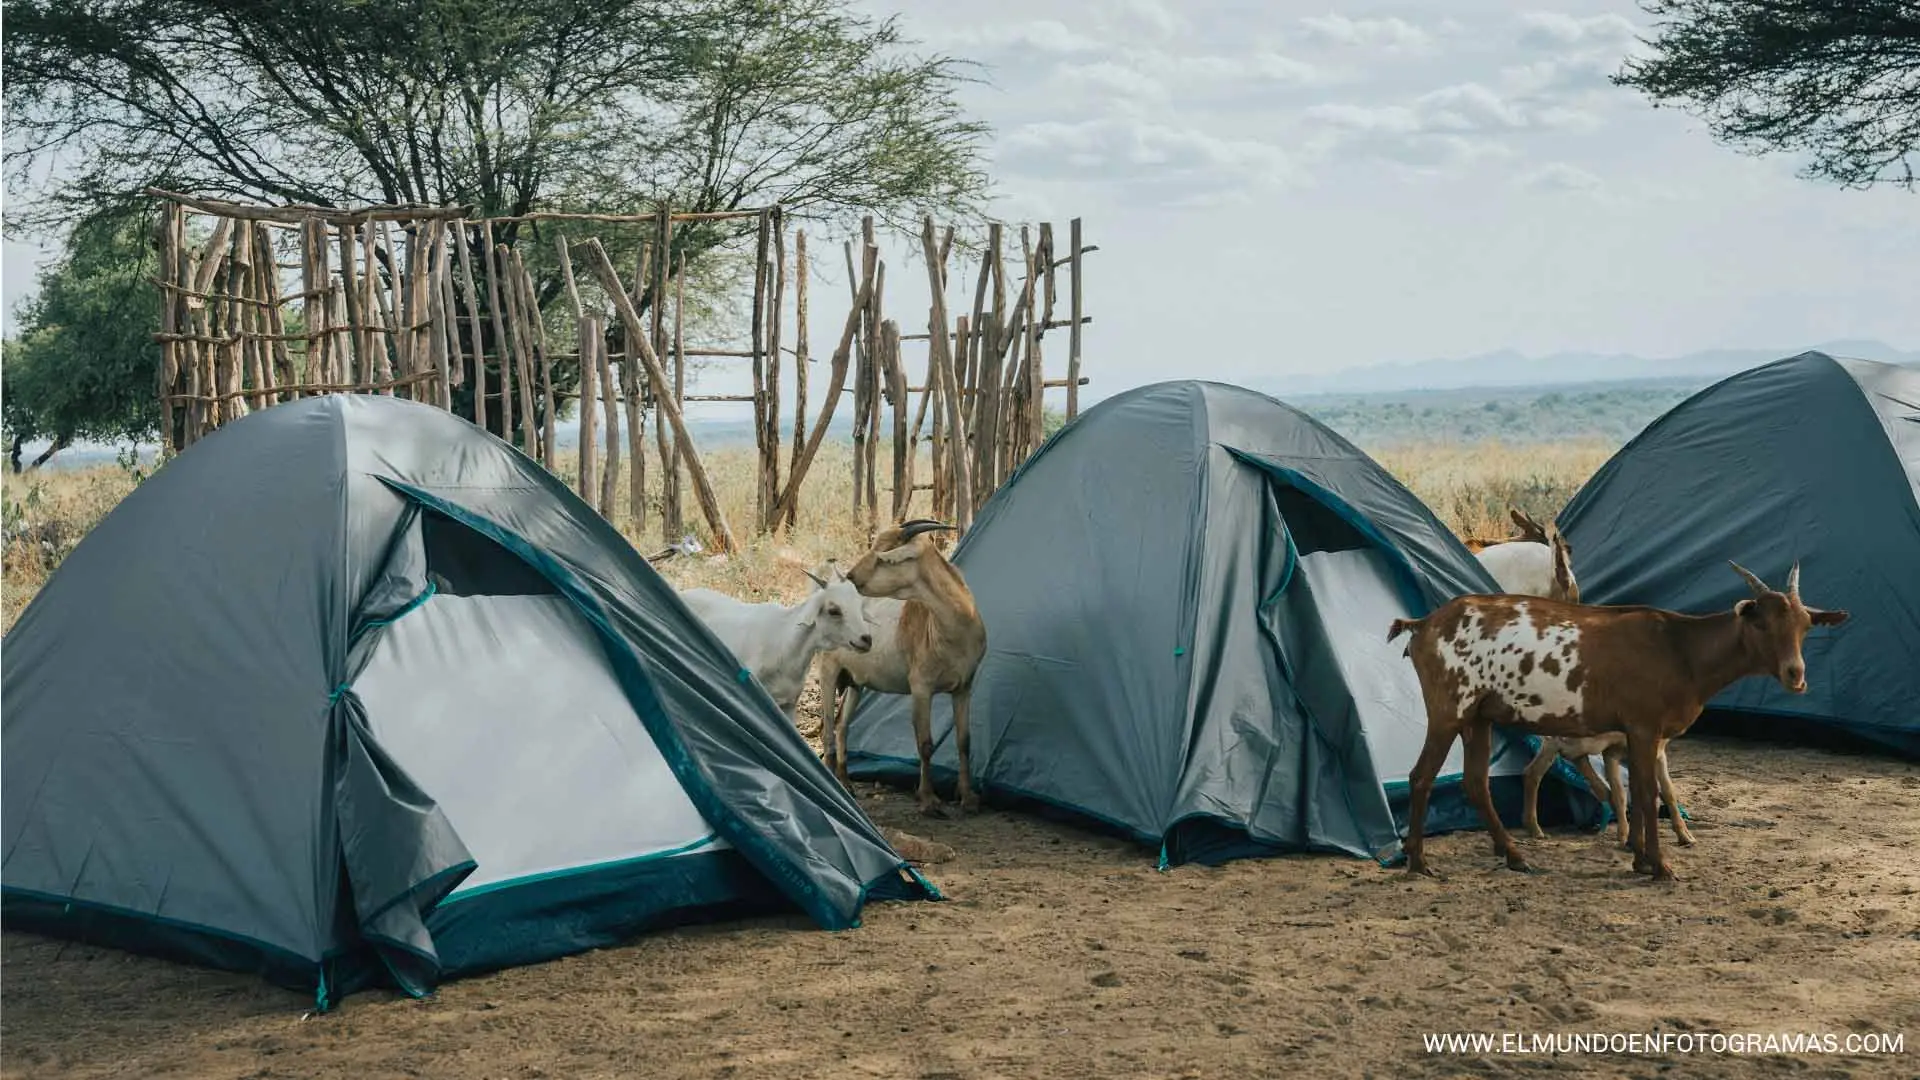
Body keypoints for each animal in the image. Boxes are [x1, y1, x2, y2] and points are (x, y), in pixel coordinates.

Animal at [1390, 557, 1850, 880]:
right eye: (1760, 623)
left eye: (1805, 625)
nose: (1795, 675)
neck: (1683, 650)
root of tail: (1424, 624)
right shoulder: (1644, 727)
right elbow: (1645, 793)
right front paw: (1660, 866)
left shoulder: (1638, 735)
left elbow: (1640, 791)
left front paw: (1642, 859)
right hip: (1449, 708)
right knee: (1422, 776)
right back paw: (1418, 862)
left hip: (1478, 717)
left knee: (1475, 782)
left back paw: (1515, 855)